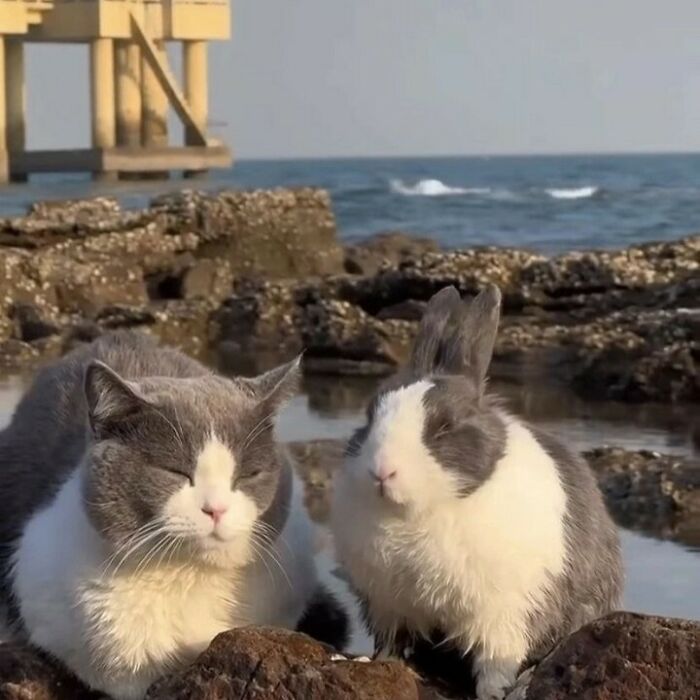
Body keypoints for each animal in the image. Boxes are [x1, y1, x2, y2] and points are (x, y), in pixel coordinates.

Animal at [331, 284, 623, 700]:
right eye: (370, 415)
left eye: (444, 427)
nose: (382, 471)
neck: (417, 514)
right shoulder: (389, 607)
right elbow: (392, 645)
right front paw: (373, 663)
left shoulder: (505, 616)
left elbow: (496, 662)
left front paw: (495, 692)